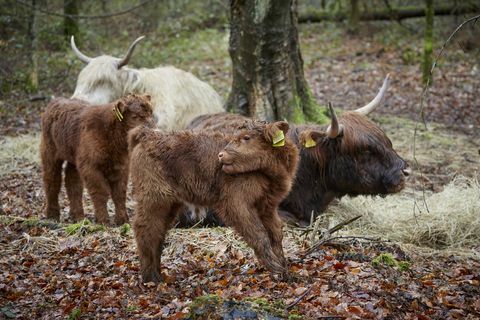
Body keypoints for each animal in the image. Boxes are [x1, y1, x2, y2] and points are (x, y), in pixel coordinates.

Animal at [41, 94, 155, 225]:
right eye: (135, 116)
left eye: (151, 113)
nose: (152, 130)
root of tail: (55, 101)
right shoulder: (90, 167)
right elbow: (101, 192)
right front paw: (103, 220)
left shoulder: (122, 166)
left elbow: (119, 193)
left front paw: (122, 220)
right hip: (49, 152)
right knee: (52, 181)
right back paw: (52, 215)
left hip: (74, 159)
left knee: (73, 182)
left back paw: (78, 217)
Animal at [127, 120, 300, 282]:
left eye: (246, 137)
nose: (221, 155)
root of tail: (148, 135)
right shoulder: (236, 202)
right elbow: (259, 234)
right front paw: (276, 269)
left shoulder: (267, 205)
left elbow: (276, 234)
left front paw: (285, 271)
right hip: (153, 195)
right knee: (145, 228)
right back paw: (150, 278)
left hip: (169, 202)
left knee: (158, 230)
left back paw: (157, 274)